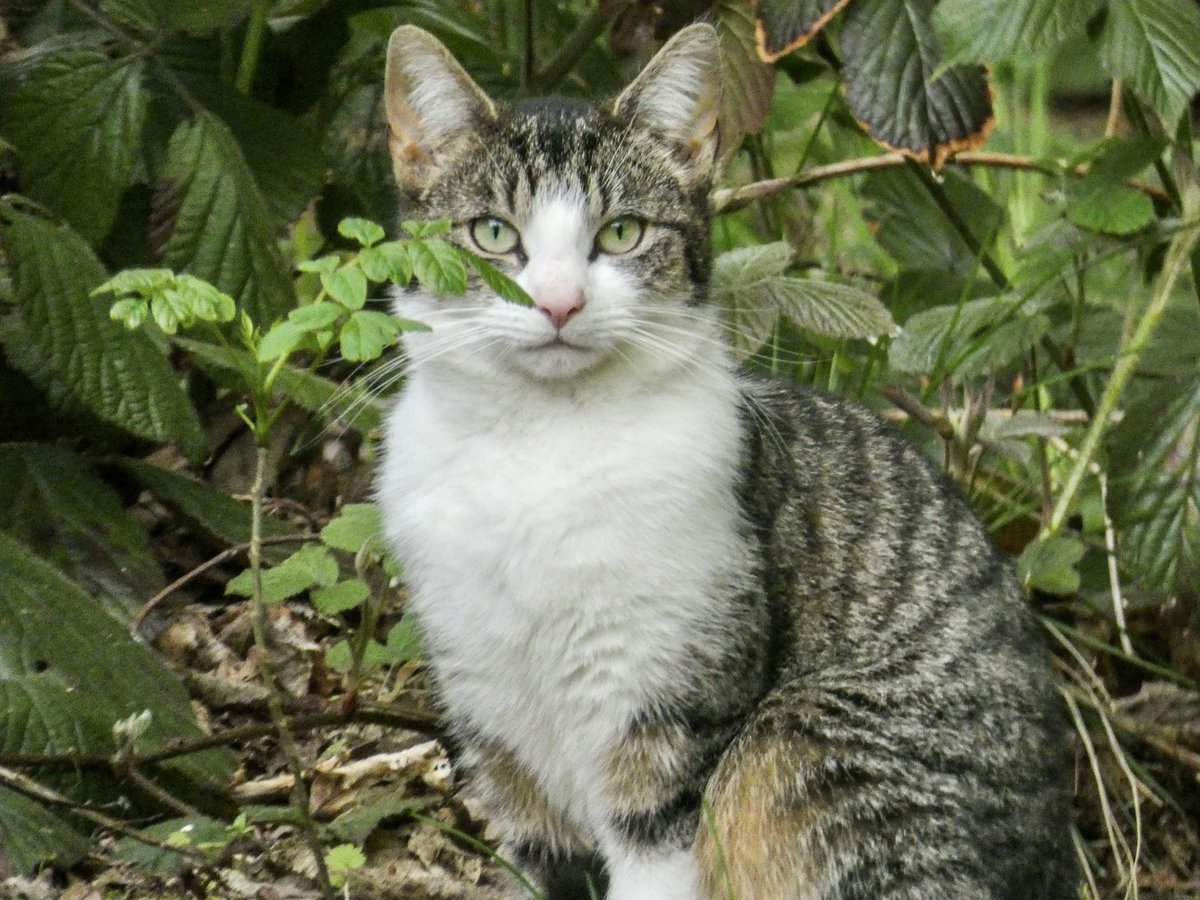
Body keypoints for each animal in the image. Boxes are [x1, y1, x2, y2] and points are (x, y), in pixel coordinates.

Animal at [376, 21, 1080, 900]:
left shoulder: (674, 711)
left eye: (622, 233)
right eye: (494, 234)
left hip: (803, 741)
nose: (560, 303)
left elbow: (653, 854)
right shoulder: (492, 715)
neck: (535, 448)